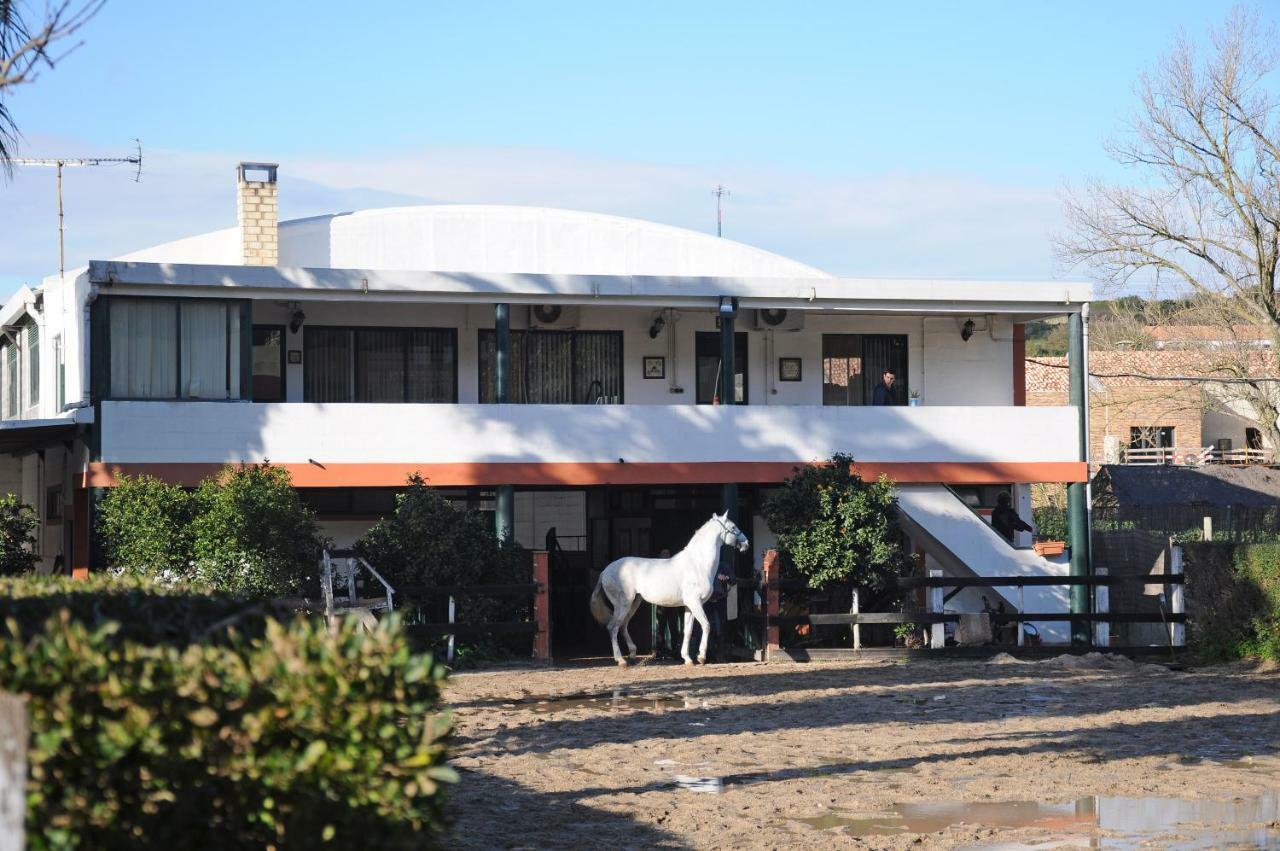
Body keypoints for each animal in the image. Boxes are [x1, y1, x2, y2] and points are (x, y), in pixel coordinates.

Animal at [586, 511, 747, 665]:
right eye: (733, 527)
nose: (746, 543)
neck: (698, 564)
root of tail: (605, 571)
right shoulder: (695, 603)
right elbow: (706, 625)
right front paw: (701, 657)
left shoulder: (689, 606)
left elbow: (687, 631)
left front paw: (687, 659)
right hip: (623, 604)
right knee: (613, 627)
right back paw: (621, 660)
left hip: (634, 602)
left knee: (623, 625)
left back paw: (631, 655)